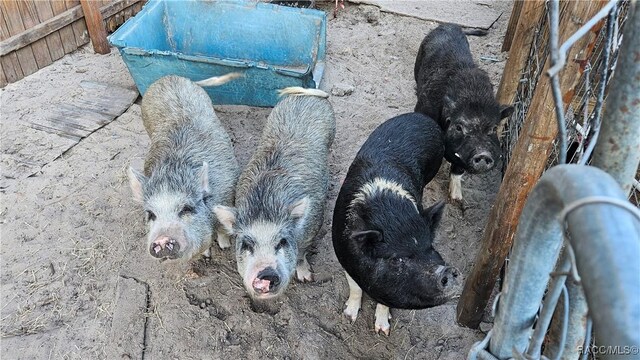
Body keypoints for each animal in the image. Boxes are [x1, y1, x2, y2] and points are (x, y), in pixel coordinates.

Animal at [127, 73, 240, 262]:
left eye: (186, 209)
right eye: (151, 214)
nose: (162, 239)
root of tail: (169, 77)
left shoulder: (227, 197)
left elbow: (223, 229)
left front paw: (224, 246)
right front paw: (205, 256)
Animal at [214, 87, 336, 300]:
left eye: (282, 242)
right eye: (246, 244)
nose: (267, 274)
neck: (265, 206)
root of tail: (307, 94)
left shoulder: (311, 230)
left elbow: (301, 255)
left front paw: (305, 278)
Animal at [332, 112, 462, 334]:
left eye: (431, 248)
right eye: (396, 259)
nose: (448, 270)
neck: (391, 213)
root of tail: (421, 116)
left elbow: (385, 303)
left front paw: (382, 331)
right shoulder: (343, 254)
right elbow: (355, 287)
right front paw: (349, 317)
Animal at [416, 24, 516, 204]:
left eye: (493, 128)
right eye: (459, 127)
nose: (482, 153)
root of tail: (449, 25)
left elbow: (458, 170)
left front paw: (457, 199)